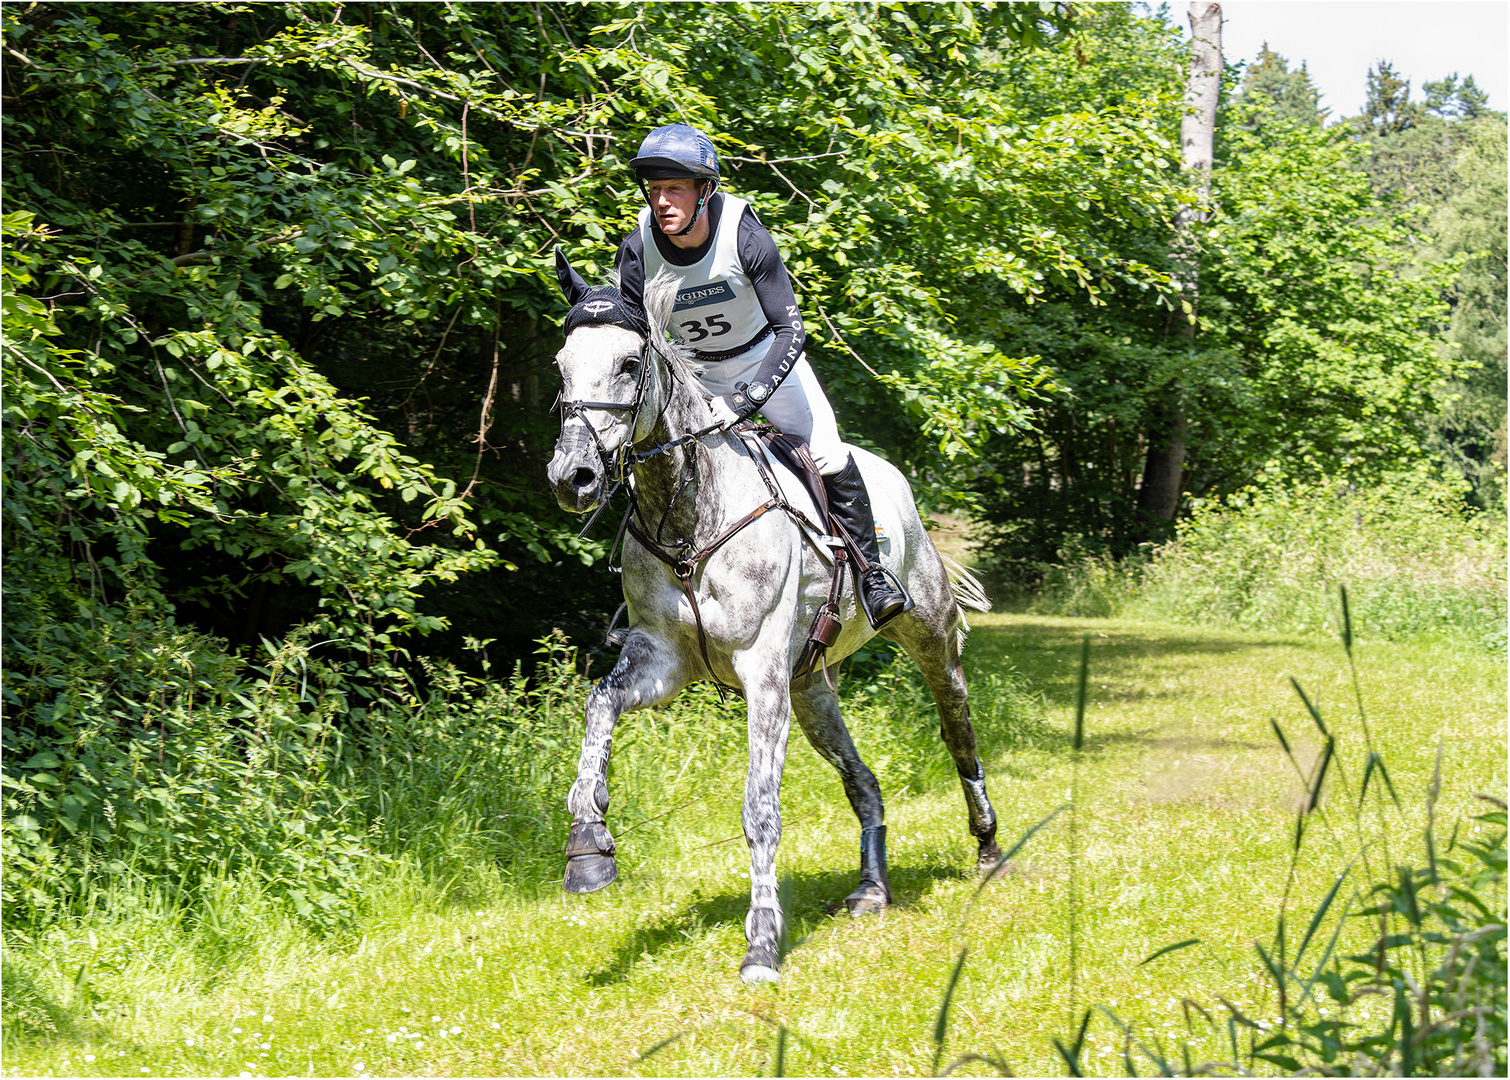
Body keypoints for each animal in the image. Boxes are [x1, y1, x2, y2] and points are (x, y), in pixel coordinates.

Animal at [546, 250, 1002, 978]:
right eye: (561, 366)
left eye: (628, 362)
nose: (574, 477)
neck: (686, 510)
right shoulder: (662, 660)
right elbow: (599, 707)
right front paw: (588, 846)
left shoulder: (761, 671)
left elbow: (760, 808)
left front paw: (761, 943)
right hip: (810, 686)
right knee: (863, 782)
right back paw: (872, 889)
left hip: (926, 637)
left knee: (959, 731)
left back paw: (987, 847)